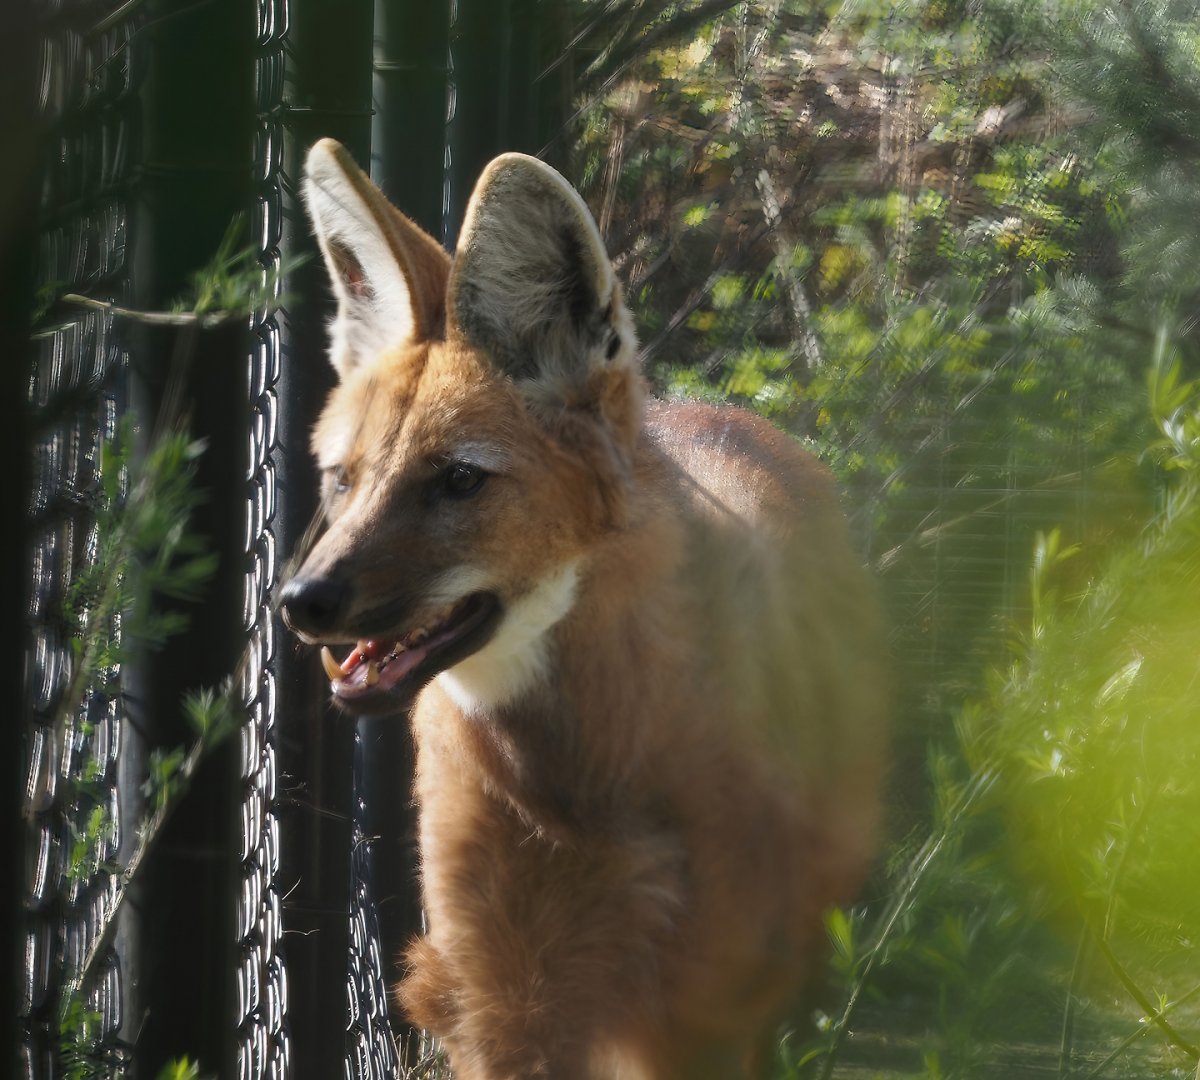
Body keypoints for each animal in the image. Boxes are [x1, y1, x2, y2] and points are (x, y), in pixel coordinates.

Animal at [279, 138, 888, 1080]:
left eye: (458, 480)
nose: (304, 601)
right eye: (342, 480)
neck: (577, 782)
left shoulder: (701, 1004)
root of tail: (724, 416)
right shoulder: (506, 998)